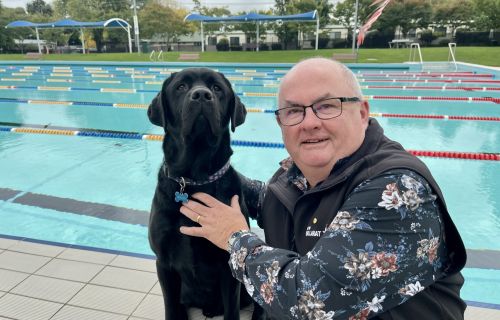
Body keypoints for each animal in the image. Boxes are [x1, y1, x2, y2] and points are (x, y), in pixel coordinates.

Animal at [147, 68, 262, 320]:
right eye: (180, 87)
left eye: (217, 88)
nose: (201, 95)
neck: (194, 181)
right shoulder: (163, 262)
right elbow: (171, 306)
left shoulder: (229, 262)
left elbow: (231, 310)